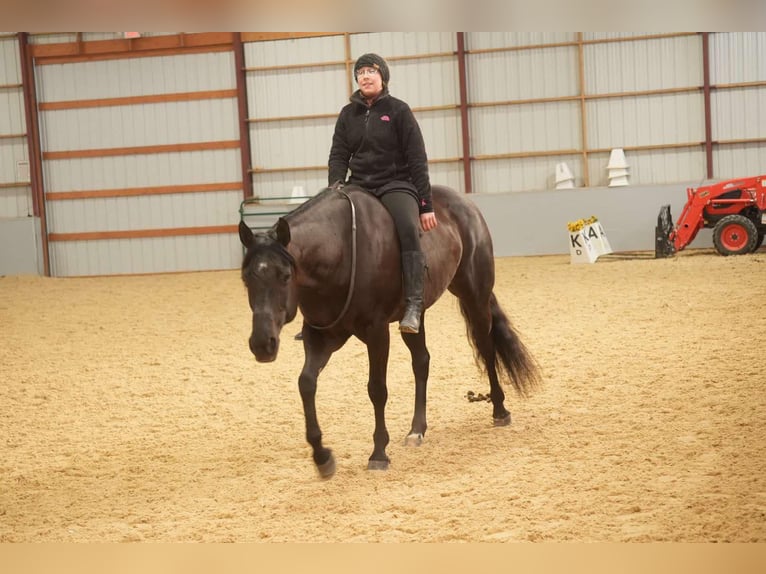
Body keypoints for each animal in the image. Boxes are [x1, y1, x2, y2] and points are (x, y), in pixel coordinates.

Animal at [238, 183, 540, 476]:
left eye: (285, 276)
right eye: (246, 278)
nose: (262, 344)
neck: (340, 251)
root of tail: (466, 204)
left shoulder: (377, 332)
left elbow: (377, 389)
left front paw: (379, 453)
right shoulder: (321, 336)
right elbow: (306, 384)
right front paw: (322, 456)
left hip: (474, 295)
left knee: (486, 347)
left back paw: (500, 410)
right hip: (417, 316)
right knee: (422, 362)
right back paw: (417, 430)